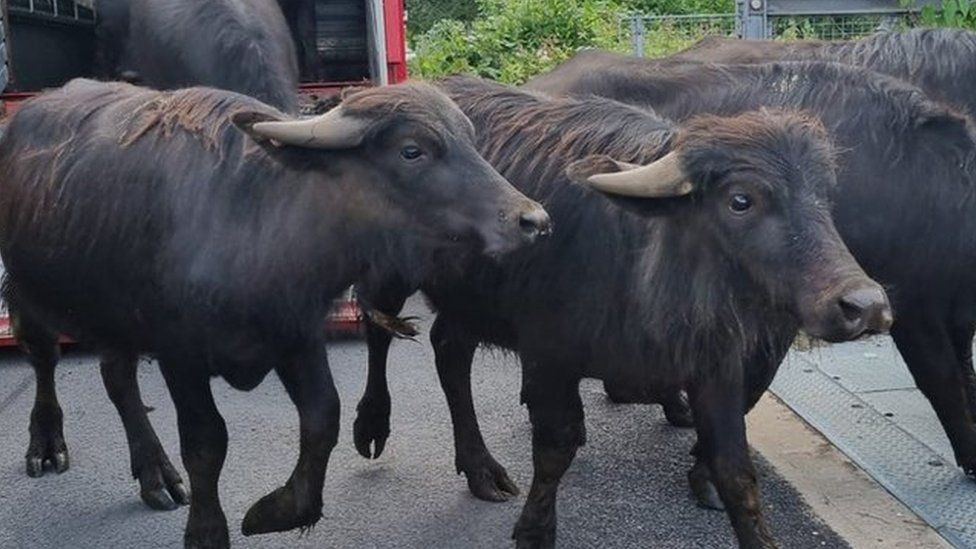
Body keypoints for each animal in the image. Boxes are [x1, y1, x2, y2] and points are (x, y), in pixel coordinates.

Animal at [0, 78, 548, 548]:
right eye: (412, 151)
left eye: (471, 141)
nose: (533, 220)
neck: (256, 226)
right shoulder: (181, 355)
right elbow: (206, 443)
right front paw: (208, 532)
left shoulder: (296, 335)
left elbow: (323, 418)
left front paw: (276, 511)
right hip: (27, 292)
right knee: (45, 356)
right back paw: (46, 443)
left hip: (117, 315)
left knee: (116, 376)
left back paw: (154, 472)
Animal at [354, 77, 888, 548]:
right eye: (741, 200)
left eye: (825, 197)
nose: (865, 306)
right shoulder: (548, 358)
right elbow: (555, 449)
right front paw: (534, 531)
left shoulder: (716, 366)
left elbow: (735, 469)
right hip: (388, 271)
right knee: (377, 329)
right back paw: (372, 425)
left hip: (470, 300)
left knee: (448, 351)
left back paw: (481, 467)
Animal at [528, 55, 976, 492]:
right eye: (742, 201)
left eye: (827, 196)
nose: (866, 308)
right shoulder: (909, 306)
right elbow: (942, 382)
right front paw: (706, 472)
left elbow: (965, 377)